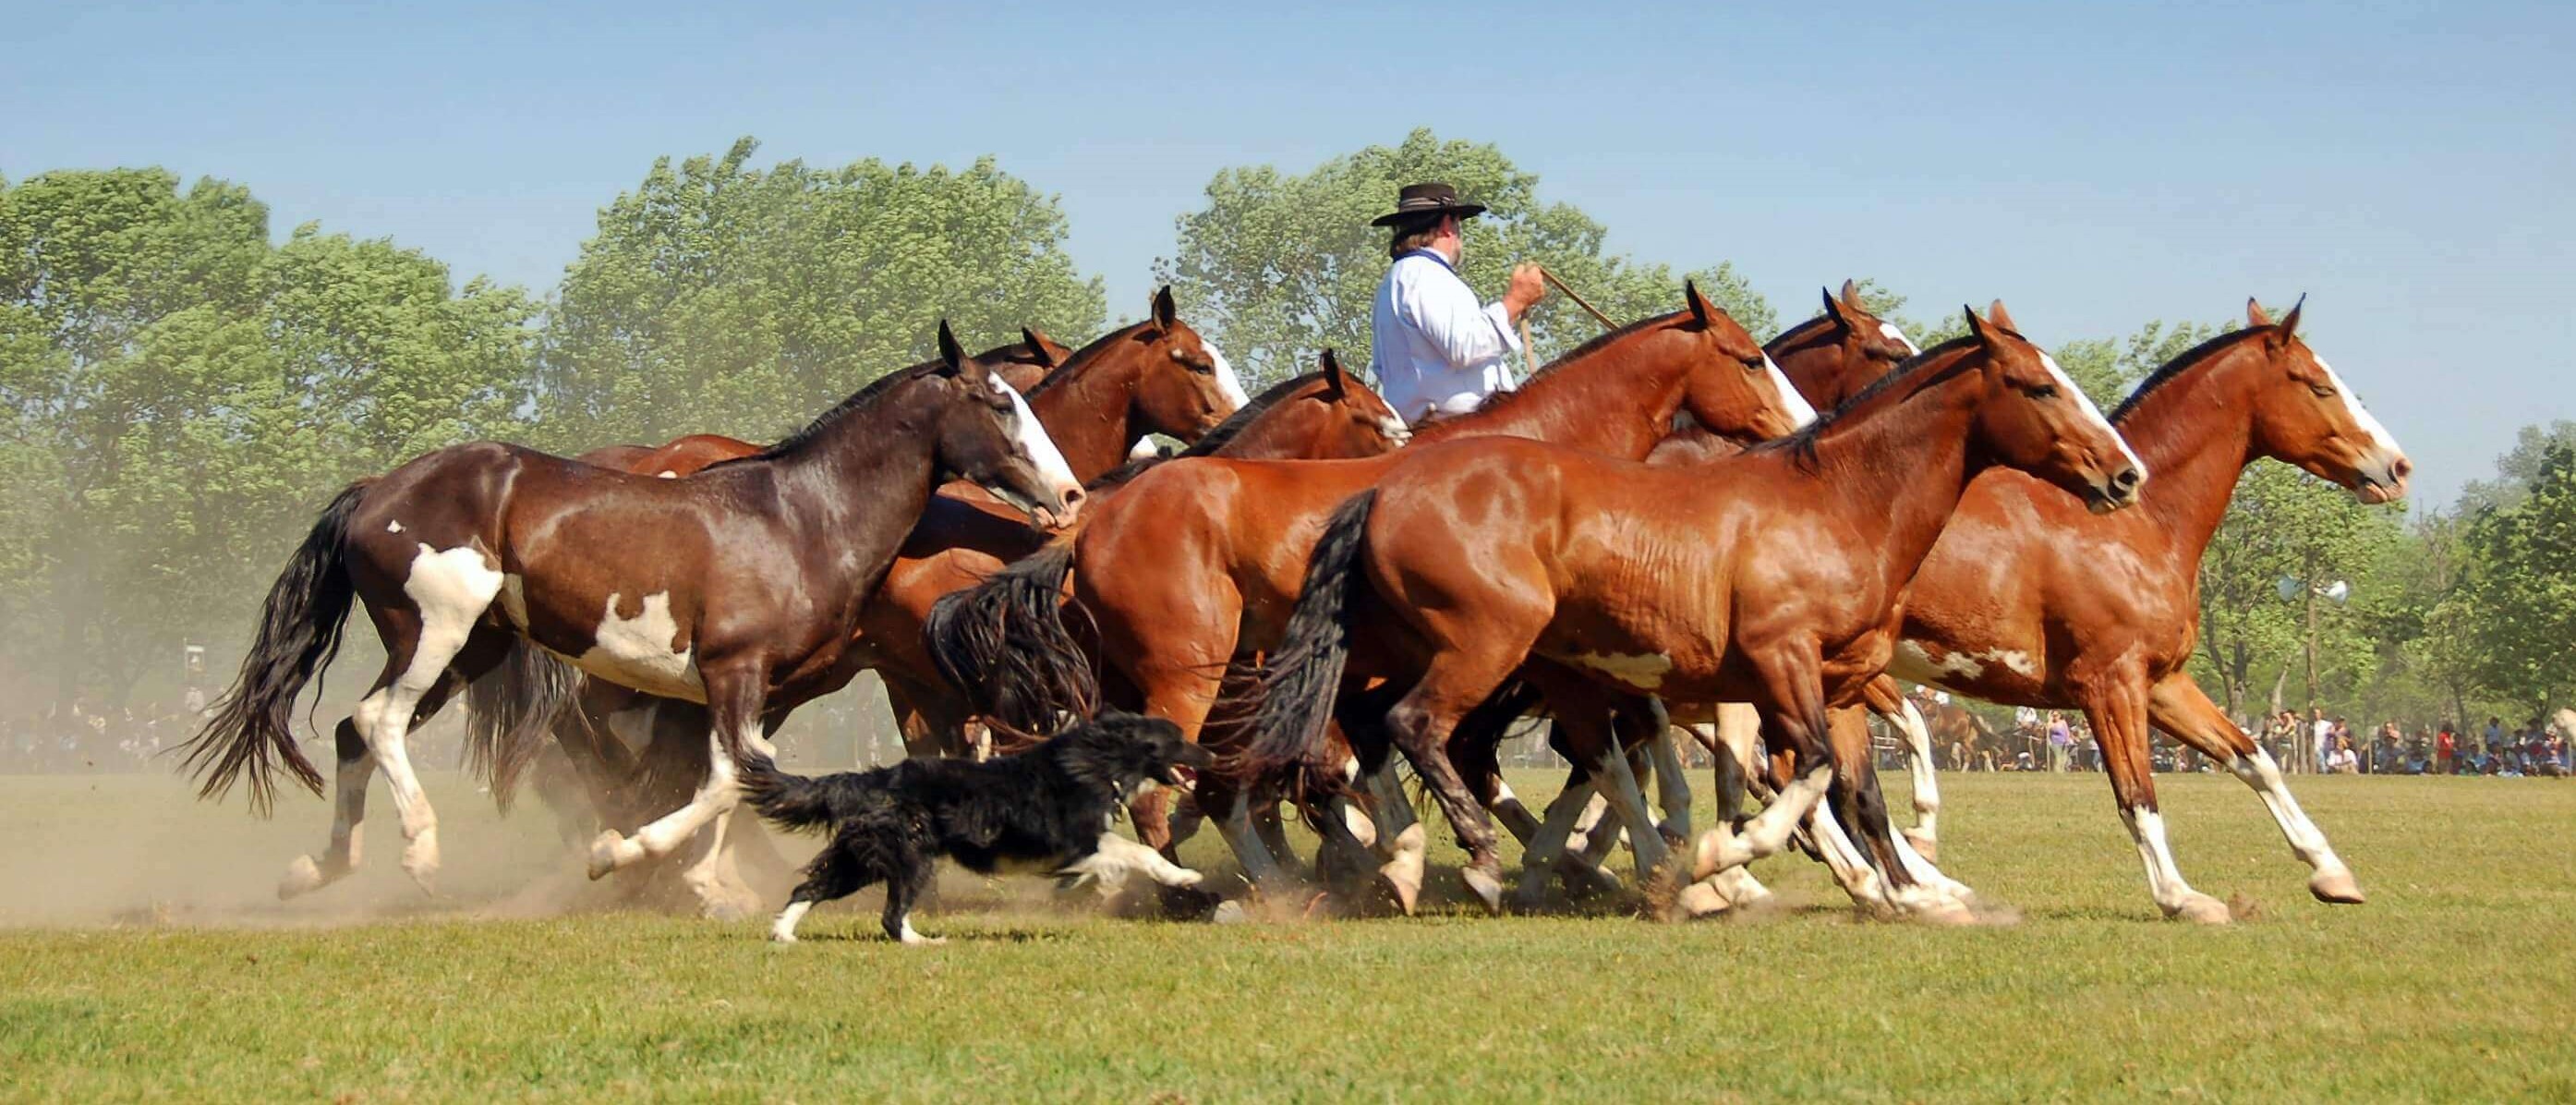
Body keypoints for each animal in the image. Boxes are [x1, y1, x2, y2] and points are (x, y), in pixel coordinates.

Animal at [181, 322, 1085, 911]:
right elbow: (723, 780)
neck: (798, 518)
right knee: (378, 722)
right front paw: (621, 855)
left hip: (474, 650)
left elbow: (738, 776)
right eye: (998, 404)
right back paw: (421, 852)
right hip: (435, 632)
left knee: (348, 731)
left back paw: (317, 870)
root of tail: (379, 488)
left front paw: (703, 882)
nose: (1071, 495)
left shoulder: (752, 689)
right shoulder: (734, 671)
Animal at [925, 282, 1816, 892]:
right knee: (1166, 790)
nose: (1802, 428)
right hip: (1188, 675)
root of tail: (1090, 526)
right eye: (1748, 358)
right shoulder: (1535, 662)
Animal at [1228, 307, 2145, 917]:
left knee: (1364, 735)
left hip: (1414, 653)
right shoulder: (1777, 665)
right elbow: (1801, 772)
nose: (2124, 474)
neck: (1835, 501)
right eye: (2037, 386)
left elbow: (1835, 778)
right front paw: (1712, 860)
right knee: (1412, 730)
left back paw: (1410, 861)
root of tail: (1382, 490)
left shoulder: (1829, 682)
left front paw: (1903, 883)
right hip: (1485, 648)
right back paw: (1473, 858)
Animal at [1864, 297, 2409, 921]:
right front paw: (2181, 897)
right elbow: (2138, 795)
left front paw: (2331, 872)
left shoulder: (2162, 683)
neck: (2140, 525)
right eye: (2319, 385)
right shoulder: (2109, 683)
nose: (2398, 468)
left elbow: (2254, 759)